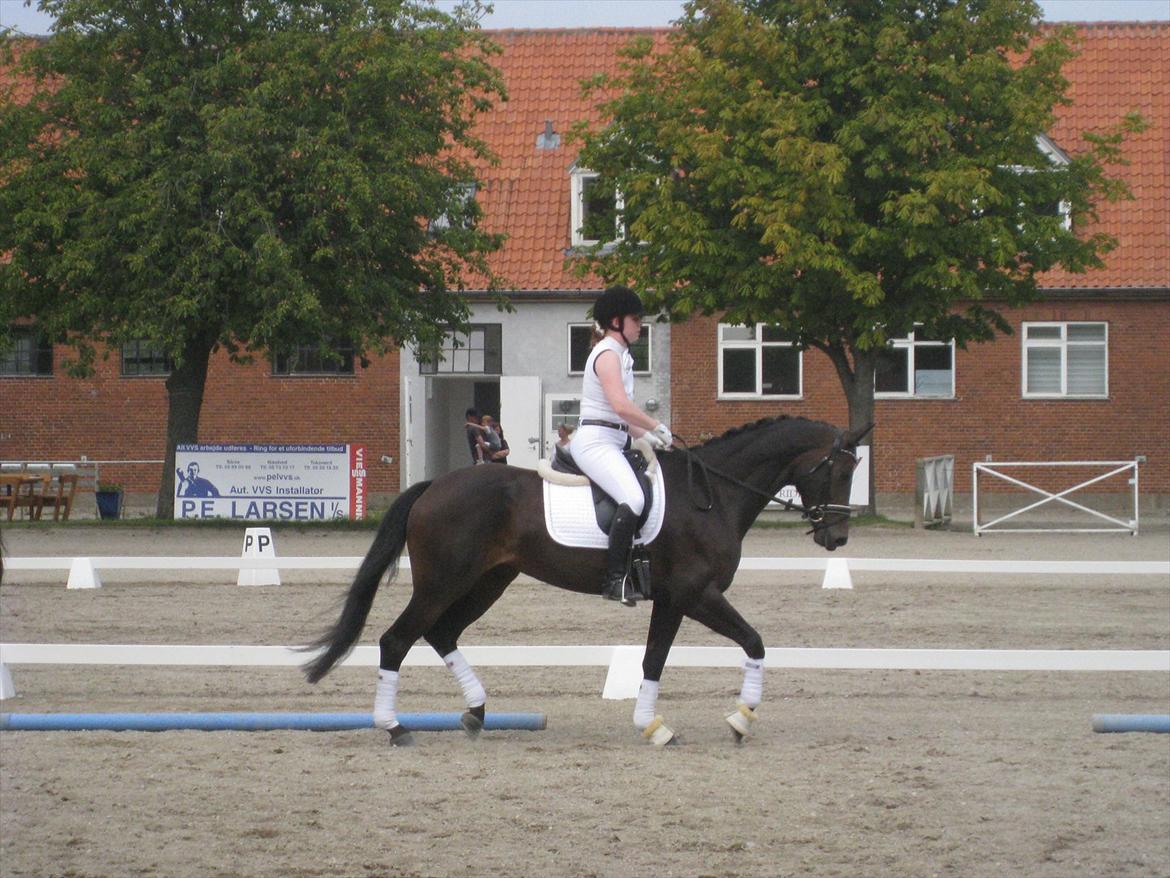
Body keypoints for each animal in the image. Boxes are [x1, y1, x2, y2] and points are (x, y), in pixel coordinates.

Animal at [306, 416, 875, 744]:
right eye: (837, 469)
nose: (837, 537)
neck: (711, 496)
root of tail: (434, 486)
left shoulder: (672, 599)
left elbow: (653, 660)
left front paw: (652, 725)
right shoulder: (696, 594)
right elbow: (754, 642)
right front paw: (741, 719)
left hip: (490, 580)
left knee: (441, 633)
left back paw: (475, 714)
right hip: (443, 581)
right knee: (396, 639)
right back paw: (396, 727)